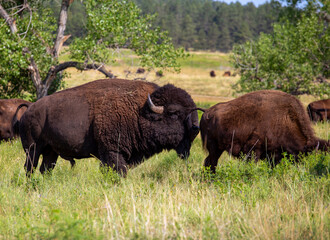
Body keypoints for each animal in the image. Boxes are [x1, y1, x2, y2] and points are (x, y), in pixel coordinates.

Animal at [17, 79, 199, 176]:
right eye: (174, 113)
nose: (195, 128)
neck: (139, 111)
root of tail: (29, 110)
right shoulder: (112, 151)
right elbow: (119, 171)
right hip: (33, 149)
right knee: (30, 168)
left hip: (51, 151)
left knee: (45, 169)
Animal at [200, 90, 328, 172]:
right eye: (301, 154)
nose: (300, 168)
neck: (284, 118)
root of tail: (207, 112)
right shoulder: (253, 150)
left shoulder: (273, 154)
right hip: (214, 148)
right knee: (211, 162)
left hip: (218, 149)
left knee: (208, 162)